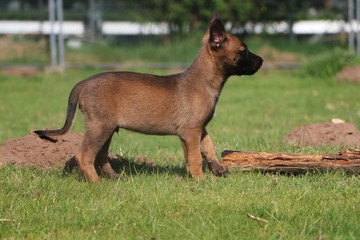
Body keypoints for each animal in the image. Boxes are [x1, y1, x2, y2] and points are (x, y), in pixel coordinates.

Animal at [35, 13, 262, 182]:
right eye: (244, 51)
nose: (261, 61)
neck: (203, 80)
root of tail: (82, 83)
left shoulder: (199, 128)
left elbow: (208, 146)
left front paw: (217, 167)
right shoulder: (190, 132)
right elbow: (195, 157)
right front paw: (199, 180)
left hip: (106, 128)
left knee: (100, 156)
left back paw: (114, 178)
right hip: (100, 127)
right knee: (84, 156)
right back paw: (96, 182)